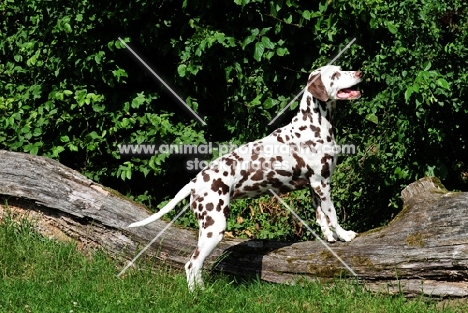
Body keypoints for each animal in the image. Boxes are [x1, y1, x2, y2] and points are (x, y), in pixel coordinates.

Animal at [128, 65, 362, 290]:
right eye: (336, 74)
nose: (360, 72)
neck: (313, 125)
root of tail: (195, 182)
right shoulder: (322, 184)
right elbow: (333, 214)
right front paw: (344, 235)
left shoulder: (314, 185)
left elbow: (322, 217)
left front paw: (330, 237)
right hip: (215, 227)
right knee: (191, 264)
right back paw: (197, 295)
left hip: (207, 228)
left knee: (196, 266)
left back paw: (203, 291)